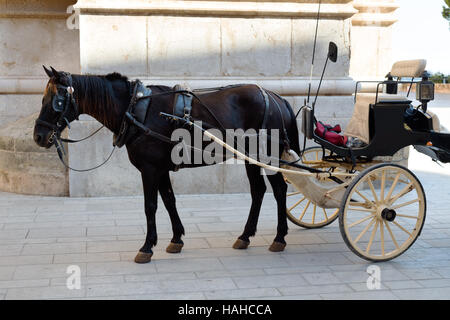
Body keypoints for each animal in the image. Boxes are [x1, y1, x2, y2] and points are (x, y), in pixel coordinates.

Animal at [33, 66, 300, 264]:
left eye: (56, 100)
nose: (38, 136)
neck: (136, 109)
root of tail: (277, 97)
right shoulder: (159, 169)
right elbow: (169, 200)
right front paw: (176, 239)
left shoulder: (150, 169)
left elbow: (150, 206)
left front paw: (147, 246)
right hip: (250, 158)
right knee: (258, 191)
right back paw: (245, 236)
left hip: (268, 156)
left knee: (279, 190)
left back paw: (279, 237)